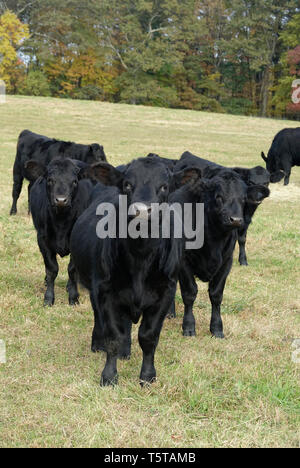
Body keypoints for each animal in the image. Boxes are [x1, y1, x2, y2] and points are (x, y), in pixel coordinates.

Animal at [27, 157, 95, 308]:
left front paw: (74, 298)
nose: (61, 200)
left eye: (74, 181)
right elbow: (52, 269)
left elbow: (72, 270)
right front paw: (48, 298)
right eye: (50, 180)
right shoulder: (42, 240)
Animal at [70, 155, 202, 386]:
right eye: (127, 184)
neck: (141, 256)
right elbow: (113, 335)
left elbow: (148, 336)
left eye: (164, 186)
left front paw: (147, 376)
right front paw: (109, 376)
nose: (141, 211)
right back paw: (99, 344)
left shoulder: (165, 294)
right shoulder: (105, 292)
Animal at [172, 168, 270, 340]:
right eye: (218, 196)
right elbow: (190, 293)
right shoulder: (184, 262)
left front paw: (217, 328)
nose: (236, 220)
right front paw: (189, 326)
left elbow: (216, 295)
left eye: (243, 199)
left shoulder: (226, 262)